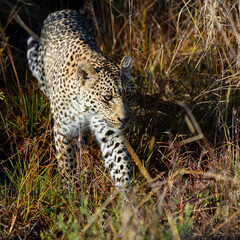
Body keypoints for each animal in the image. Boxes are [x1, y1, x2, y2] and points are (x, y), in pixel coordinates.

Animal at [27, 8, 135, 188]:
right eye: (107, 97)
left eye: (128, 95)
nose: (125, 119)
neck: (86, 107)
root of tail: (61, 11)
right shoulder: (63, 129)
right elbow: (66, 162)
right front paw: (69, 189)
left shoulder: (108, 129)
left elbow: (120, 160)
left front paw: (127, 189)